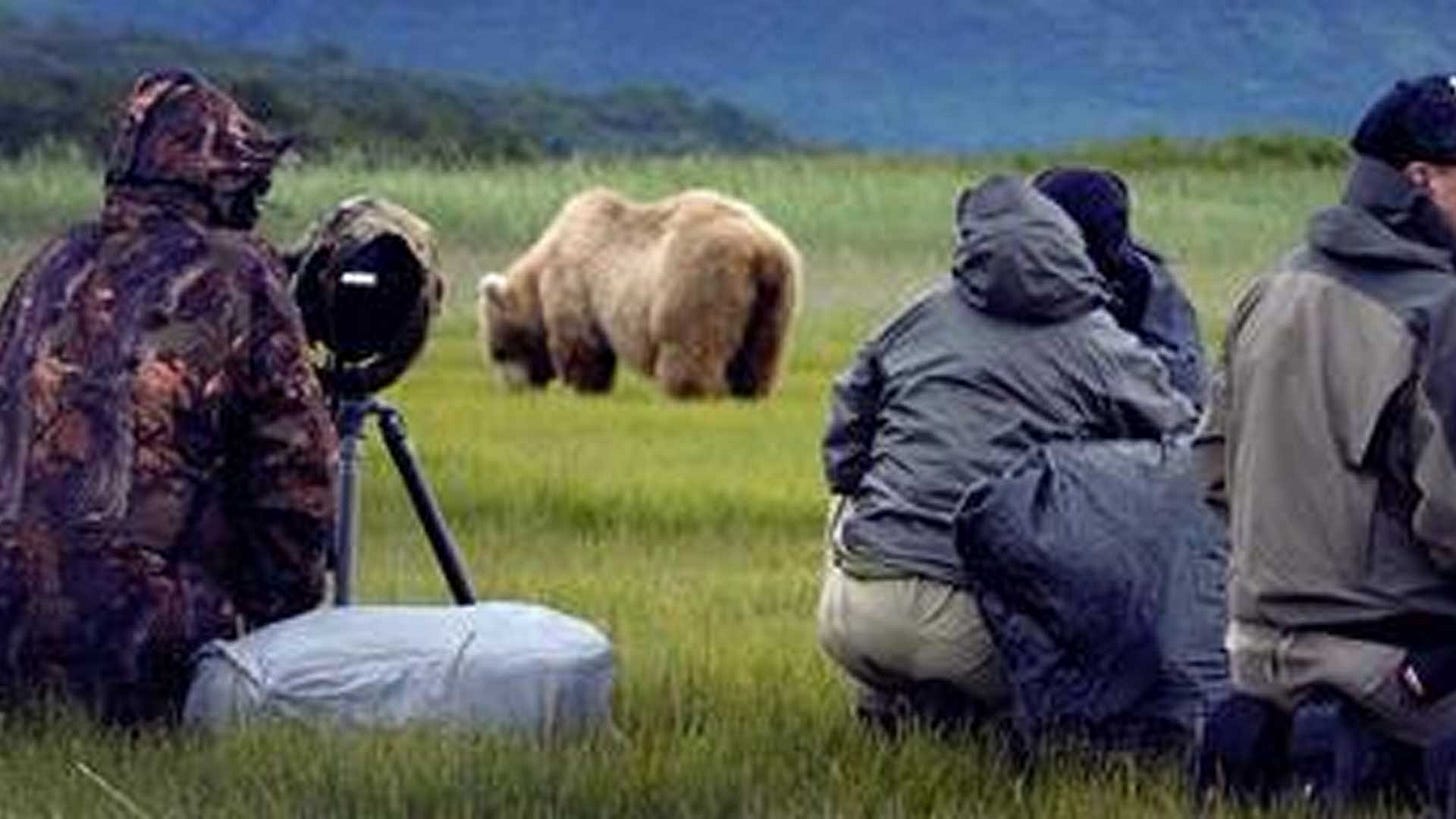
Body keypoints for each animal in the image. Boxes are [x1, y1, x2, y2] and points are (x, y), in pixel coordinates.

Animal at [477, 187, 802, 399]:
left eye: (497, 350)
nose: (514, 389)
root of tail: (761, 249)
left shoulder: (572, 282)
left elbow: (582, 344)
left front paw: (582, 387)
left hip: (698, 279)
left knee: (691, 343)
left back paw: (687, 391)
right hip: (775, 296)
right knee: (761, 350)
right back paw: (750, 392)